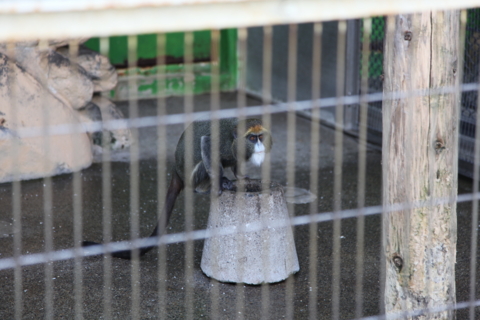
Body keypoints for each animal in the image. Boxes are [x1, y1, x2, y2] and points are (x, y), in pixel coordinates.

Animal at [83, 117, 274, 260]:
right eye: (252, 138)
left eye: (261, 136)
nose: (259, 146)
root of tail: (177, 169)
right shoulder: (223, 143)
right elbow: (206, 143)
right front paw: (220, 183)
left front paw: (241, 177)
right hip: (192, 177)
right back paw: (207, 187)